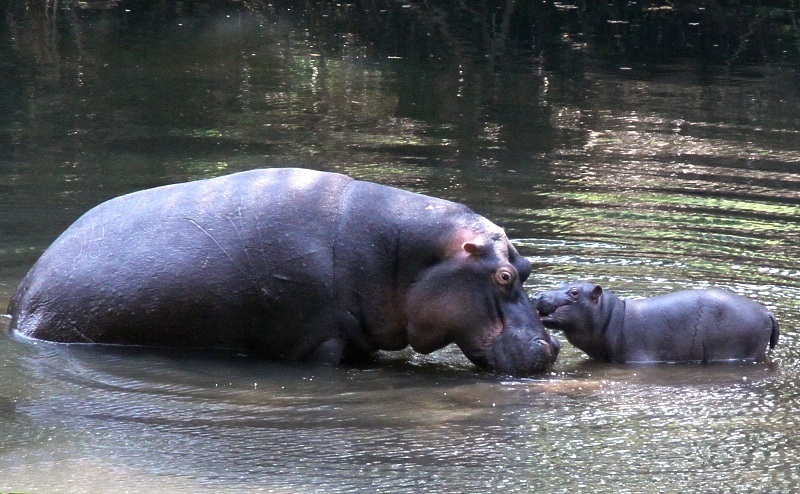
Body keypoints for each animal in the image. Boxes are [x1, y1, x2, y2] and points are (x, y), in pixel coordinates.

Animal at [7, 168, 559, 376]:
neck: (403, 256)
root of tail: (23, 295)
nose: (551, 347)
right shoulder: (323, 341)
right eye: (503, 276)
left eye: (527, 265)